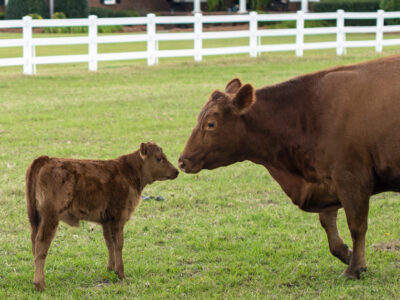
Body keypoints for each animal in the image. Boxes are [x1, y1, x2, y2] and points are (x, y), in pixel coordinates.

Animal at [25, 142, 179, 290]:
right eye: (159, 158)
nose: (176, 171)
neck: (128, 173)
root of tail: (46, 159)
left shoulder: (106, 220)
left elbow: (109, 243)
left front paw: (110, 269)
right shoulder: (119, 217)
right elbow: (119, 244)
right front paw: (121, 273)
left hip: (35, 218)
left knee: (34, 242)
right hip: (50, 217)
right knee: (41, 244)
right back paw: (40, 284)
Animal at [180, 55, 400, 278]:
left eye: (211, 124)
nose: (182, 160)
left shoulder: (351, 177)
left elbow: (356, 225)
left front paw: (355, 267)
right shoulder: (326, 181)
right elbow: (327, 221)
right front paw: (345, 253)